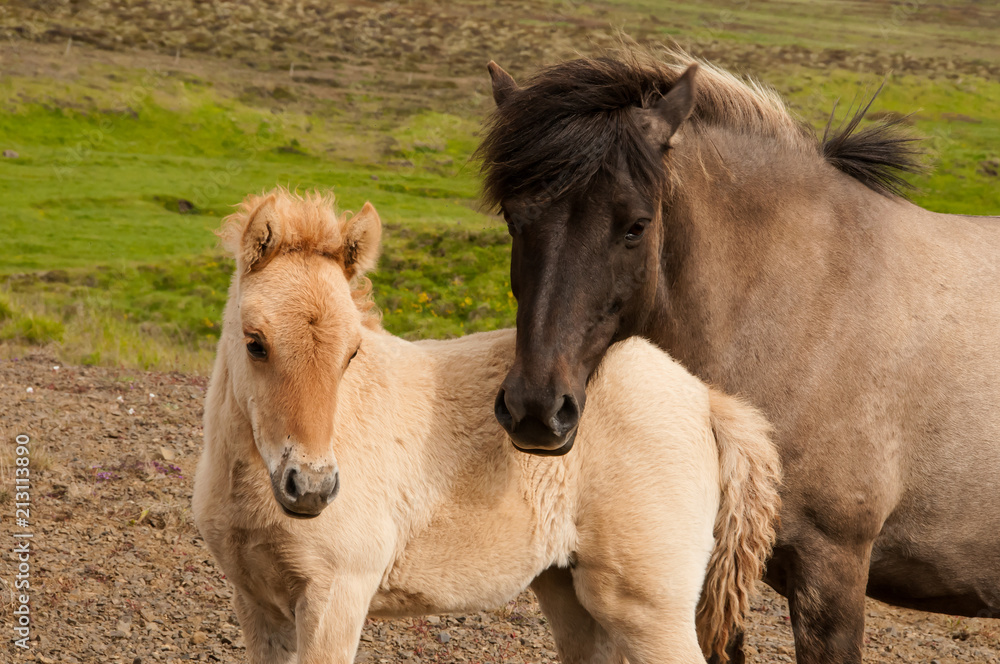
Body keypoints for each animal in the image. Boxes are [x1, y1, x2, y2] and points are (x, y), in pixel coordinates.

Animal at [192, 188, 781, 664]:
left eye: (351, 352)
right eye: (255, 343)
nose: (312, 488)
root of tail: (703, 398)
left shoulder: (336, 595)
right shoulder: (257, 603)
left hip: (647, 605)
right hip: (571, 593)